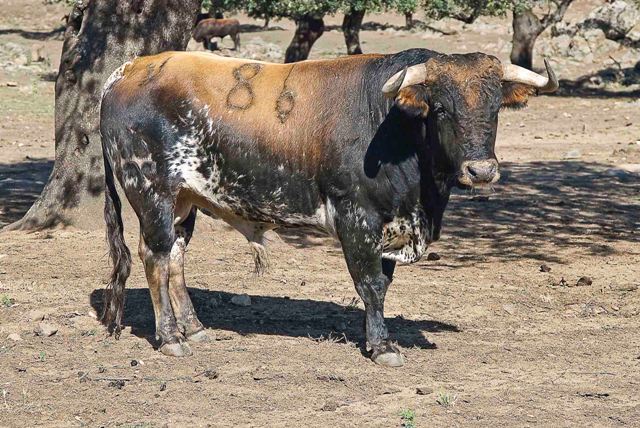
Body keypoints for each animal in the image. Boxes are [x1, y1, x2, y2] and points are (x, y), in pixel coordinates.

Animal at [99, 48, 556, 366]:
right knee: (155, 257)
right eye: (441, 108)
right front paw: (382, 347)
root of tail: (127, 71)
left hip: (184, 201)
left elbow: (383, 285)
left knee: (175, 258)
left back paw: (194, 329)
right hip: (152, 192)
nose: (481, 171)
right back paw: (170, 338)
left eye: (495, 108)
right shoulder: (358, 220)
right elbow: (370, 285)